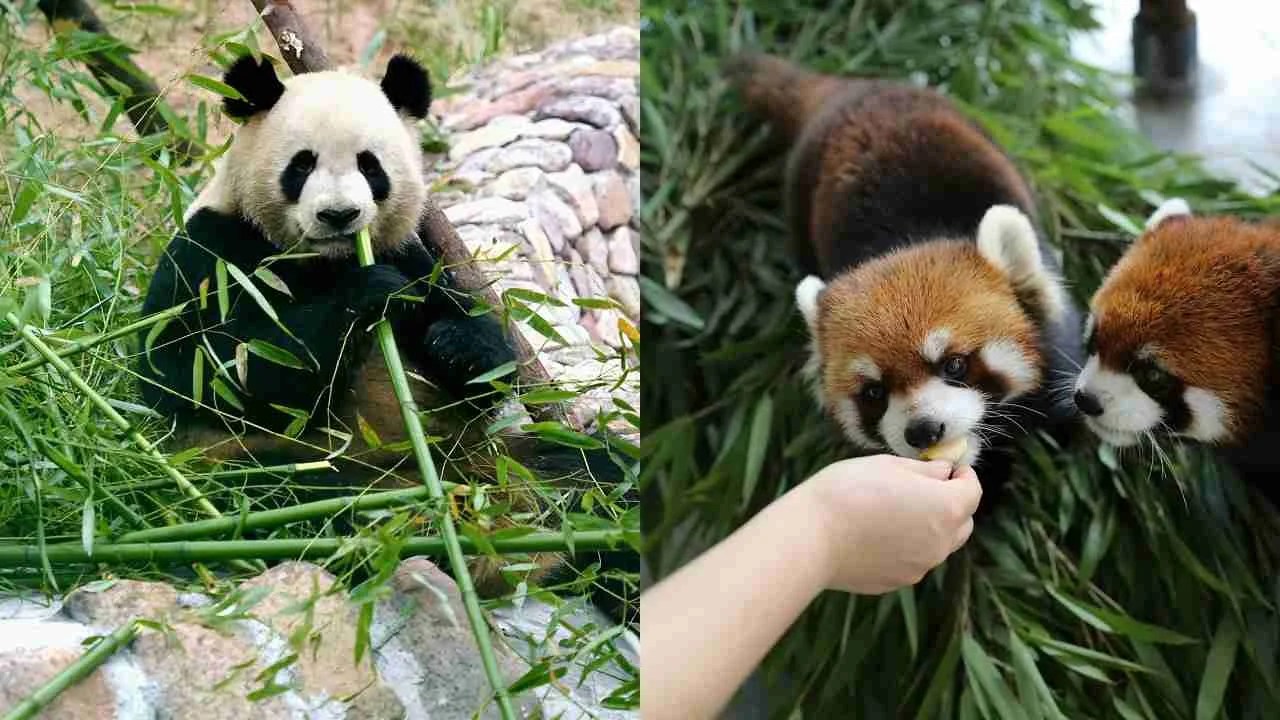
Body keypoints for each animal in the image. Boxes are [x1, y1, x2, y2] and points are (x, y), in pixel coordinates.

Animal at [136, 53, 636, 623]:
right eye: (301, 165)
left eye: (369, 166)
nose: (339, 215)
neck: (328, 259)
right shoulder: (214, 251)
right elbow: (195, 369)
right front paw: (369, 295)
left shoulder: (416, 256)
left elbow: (476, 361)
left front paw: (457, 346)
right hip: (266, 470)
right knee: (290, 501)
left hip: (504, 457)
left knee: (603, 478)